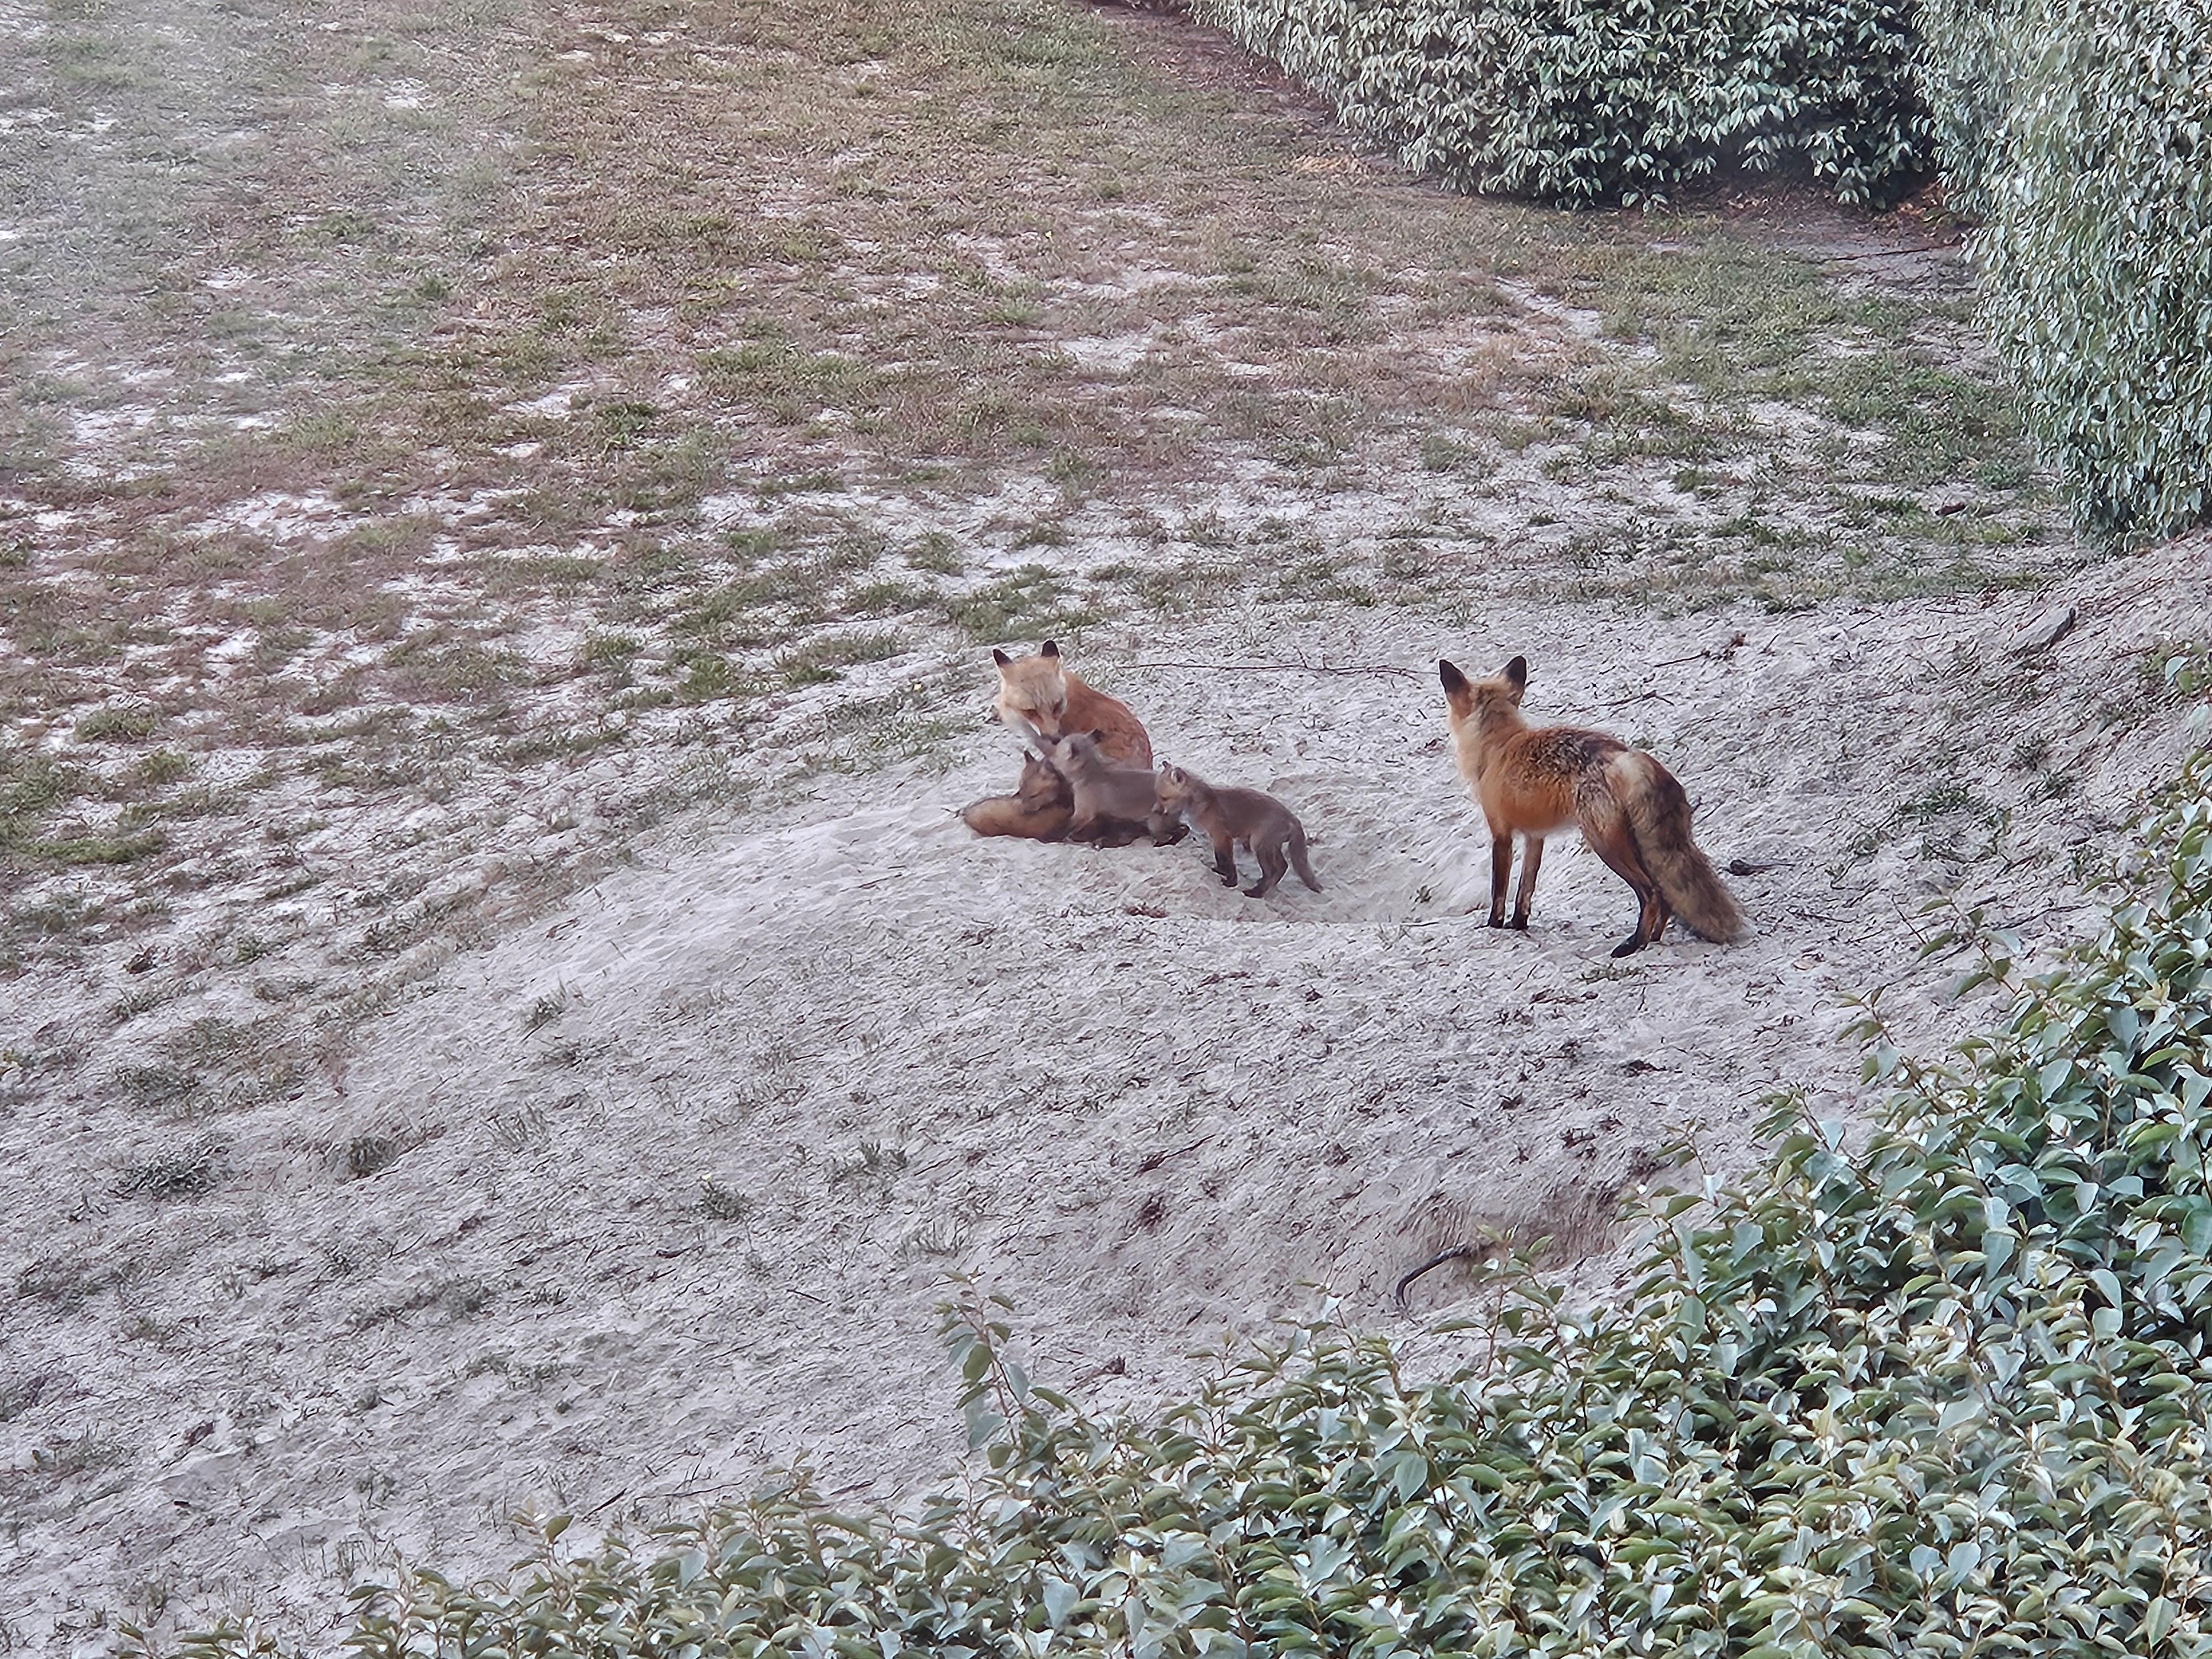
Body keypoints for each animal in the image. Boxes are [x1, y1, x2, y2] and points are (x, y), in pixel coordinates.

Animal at [1038, 730, 1184, 846]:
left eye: (1056, 753)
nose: (1048, 761)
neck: (1092, 771)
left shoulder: (1083, 814)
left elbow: (1068, 826)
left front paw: (1057, 837)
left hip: (1154, 823)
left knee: (1165, 836)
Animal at [1155, 763, 1321, 898]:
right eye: (1158, 797)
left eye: (1164, 799)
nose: (1155, 811)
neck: (1205, 803)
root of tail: (1294, 818)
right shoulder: (1216, 838)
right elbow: (1220, 858)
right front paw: (1220, 871)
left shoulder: (1222, 836)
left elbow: (1228, 861)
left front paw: (1231, 881)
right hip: (1270, 847)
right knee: (1282, 867)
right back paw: (1264, 885)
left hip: (1258, 845)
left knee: (1274, 870)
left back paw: (1256, 893)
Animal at [1438, 655, 1742, 958]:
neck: (1497, 745)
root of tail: (1629, 757)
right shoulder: (1535, 837)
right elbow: (1526, 889)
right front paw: (1519, 925)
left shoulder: (1501, 834)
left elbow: (1499, 891)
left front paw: (1494, 926)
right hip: (1641, 847)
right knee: (1666, 895)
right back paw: (1653, 939)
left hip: (1606, 845)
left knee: (1651, 893)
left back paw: (1635, 944)